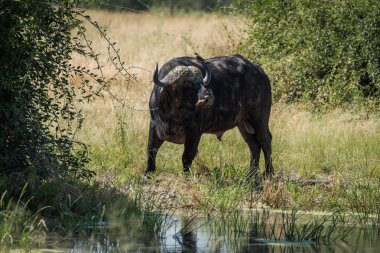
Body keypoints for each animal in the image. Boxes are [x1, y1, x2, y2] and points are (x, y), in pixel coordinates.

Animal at [145, 54, 274, 182]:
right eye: (187, 84)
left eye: (202, 82)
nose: (208, 98)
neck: (173, 114)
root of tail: (261, 73)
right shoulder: (154, 125)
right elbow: (151, 150)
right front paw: (148, 173)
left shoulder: (195, 132)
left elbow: (187, 156)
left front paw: (186, 176)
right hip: (243, 122)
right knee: (253, 144)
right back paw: (251, 174)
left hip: (260, 117)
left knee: (265, 140)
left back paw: (268, 173)